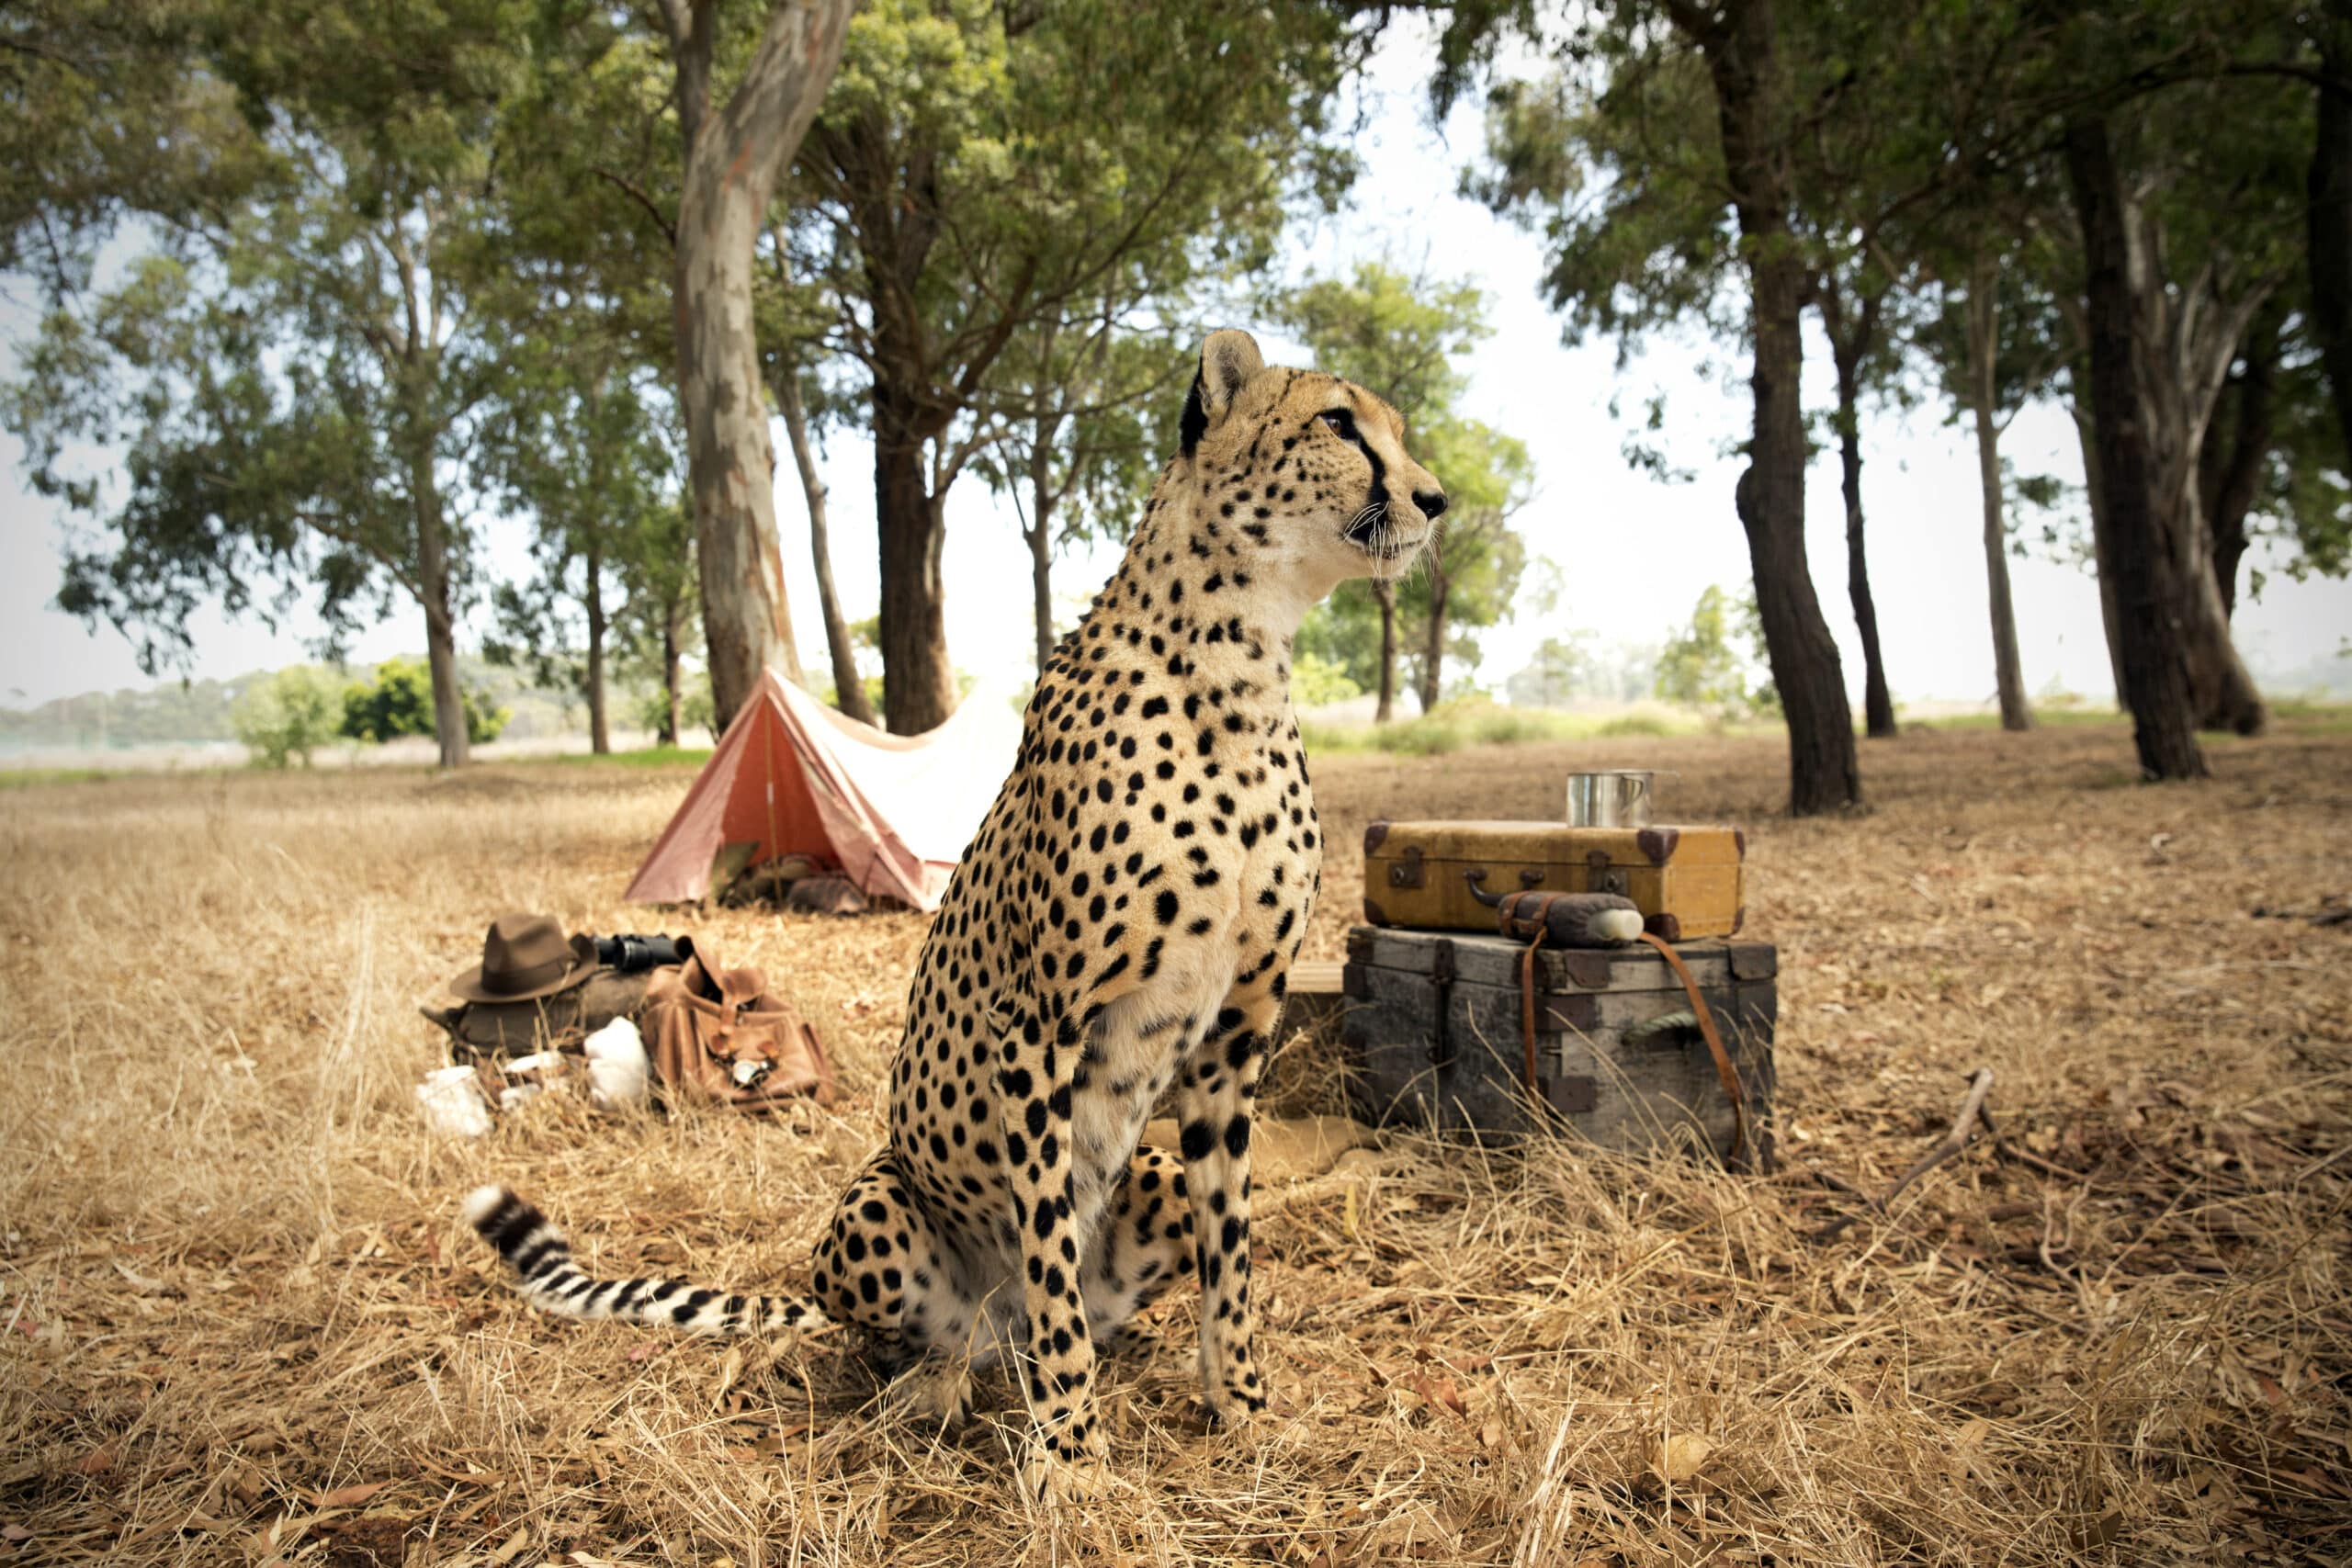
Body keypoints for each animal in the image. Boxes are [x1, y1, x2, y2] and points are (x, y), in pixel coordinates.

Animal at [465, 331, 1439, 1504]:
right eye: (1340, 423)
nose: (1436, 498)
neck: (1240, 665)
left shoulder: (1233, 1035)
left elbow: (1231, 1248)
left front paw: (1241, 1406)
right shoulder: (1041, 1026)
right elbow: (1049, 1253)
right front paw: (1071, 1457)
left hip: (1145, 1171)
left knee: (1077, 1305)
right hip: (875, 1201)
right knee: (943, 1335)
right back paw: (936, 1387)